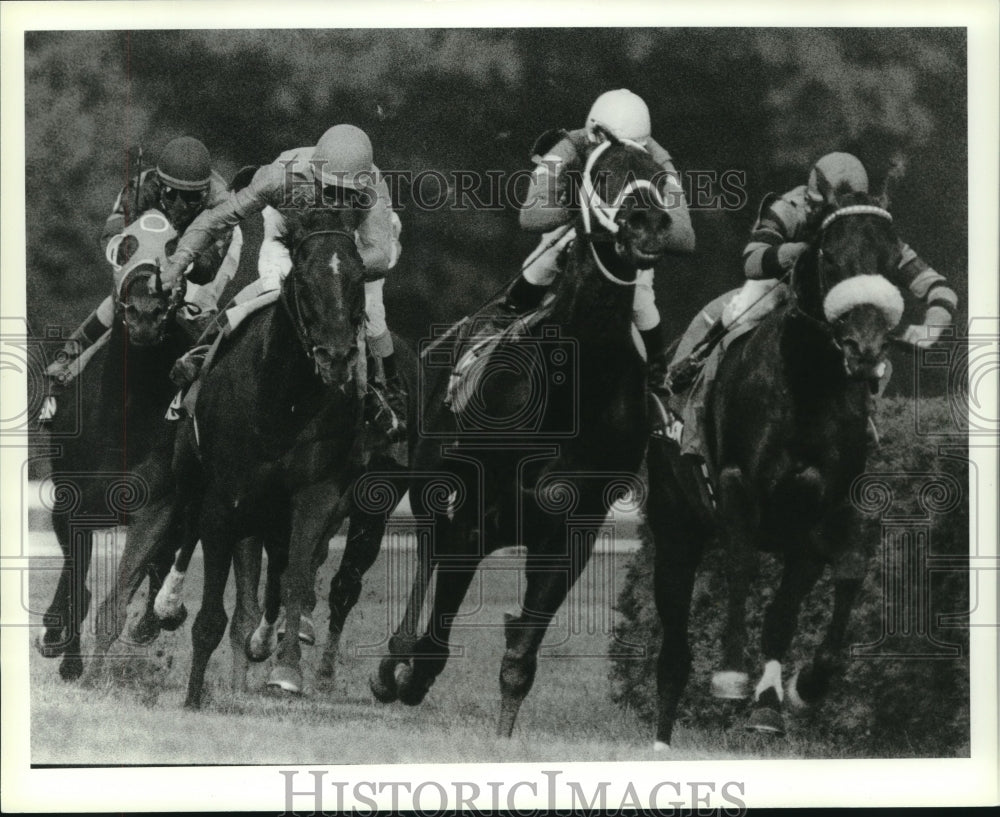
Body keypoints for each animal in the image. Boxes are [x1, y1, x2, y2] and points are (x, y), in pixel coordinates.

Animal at [35, 234, 193, 676]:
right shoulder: (72, 505)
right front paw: (68, 658)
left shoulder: (157, 507)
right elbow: (76, 584)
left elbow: (120, 596)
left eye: (174, 253)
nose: (144, 313)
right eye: (125, 250)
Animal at [372, 132, 684, 732]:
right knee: (425, 556)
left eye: (660, 179)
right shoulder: (474, 511)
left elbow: (521, 654)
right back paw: (391, 661)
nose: (647, 224)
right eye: (601, 176)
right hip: (430, 485)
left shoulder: (573, 532)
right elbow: (436, 637)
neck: (574, 387)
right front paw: (407, 675)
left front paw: (504, 732)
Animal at [648, 191, 908, 744]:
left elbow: (842, 576)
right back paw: (661, 739)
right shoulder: (737, 486)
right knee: (674, 640)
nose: (865, 349)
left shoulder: (824, 509)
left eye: (893, 259)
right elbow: (742, 564)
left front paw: (797, 690)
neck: (808, 385)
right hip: (675, 522)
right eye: (829, 256)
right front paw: (730, 675)